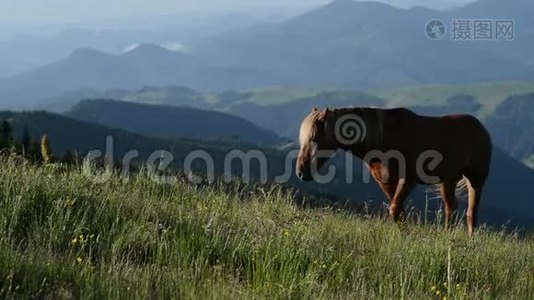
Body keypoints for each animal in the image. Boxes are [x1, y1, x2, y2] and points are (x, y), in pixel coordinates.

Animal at [298, 106, 494, 238]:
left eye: (314, 138)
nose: (301, 172)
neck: (384, 138)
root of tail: (482, 129)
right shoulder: (386, 181)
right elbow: (397, 210)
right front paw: (405, 234)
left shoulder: (408, 179)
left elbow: (395, 208)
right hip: (448, 180)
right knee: (450, 207)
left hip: (475, 179)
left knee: (471, 212)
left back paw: (470, 242)